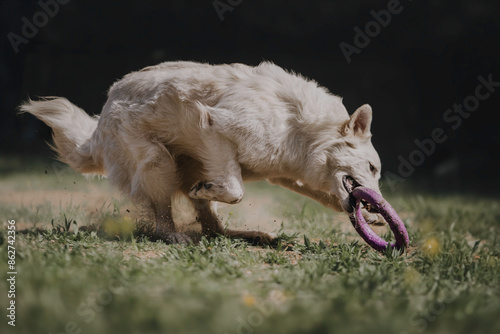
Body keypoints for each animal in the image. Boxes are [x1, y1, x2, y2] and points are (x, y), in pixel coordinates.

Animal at [20, 60, 382, 243]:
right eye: (373, 169)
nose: (377, 203)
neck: (301, 127)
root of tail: (101, 119)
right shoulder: (214, 128)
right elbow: (235, 191)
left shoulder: (282, 173)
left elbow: (327, 196)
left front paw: (369, 219)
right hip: (160, 164)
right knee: (167, 218)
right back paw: (176, 236)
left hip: (190, 166)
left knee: (214, 227)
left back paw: (251, 234)